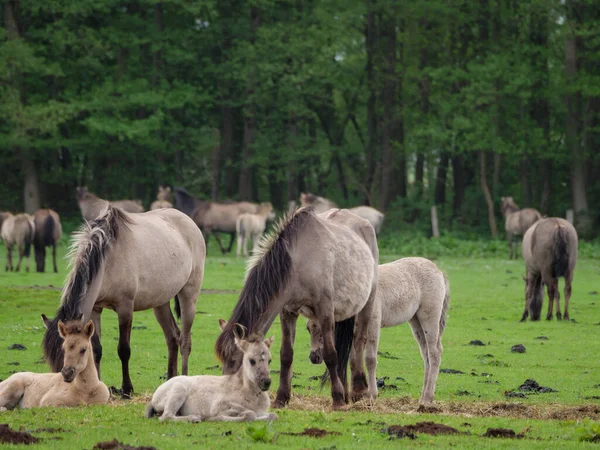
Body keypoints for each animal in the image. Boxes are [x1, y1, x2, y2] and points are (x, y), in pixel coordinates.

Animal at [42, 203, 206, 398]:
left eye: (78, 350)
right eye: (63, 349)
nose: (64, 377)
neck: (107, 260)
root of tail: (189, 222)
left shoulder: (125, 308)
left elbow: (124, 350)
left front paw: (127, 389)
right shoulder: (96, 309)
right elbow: (97, 350)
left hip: (188, 297)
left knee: (185, 342)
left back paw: (184, 378)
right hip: (160, 303)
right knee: (172, 338)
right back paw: (170, 380)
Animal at [146, 322, 278, 424]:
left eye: (269, 360)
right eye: (251, 360)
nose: (266, 382)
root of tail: (155, 396)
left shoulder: (262, 412)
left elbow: (273, 415)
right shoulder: (221, 405)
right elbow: (249, 414)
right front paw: (214, 418)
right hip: (178, 391)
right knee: (166, 416)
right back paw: (194, 418)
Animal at [213, 208, 378, 412]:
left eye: (238, 360)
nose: (227, 392)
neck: (299, 261)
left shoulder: (325, 311)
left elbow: (331, 355)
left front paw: (338, 400)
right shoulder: (287, 312)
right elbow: (286, 355)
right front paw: (281, 399)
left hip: (367, 302)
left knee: (358, 342)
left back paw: (359, 391)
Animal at [308, 256, 448, 404]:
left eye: (322, 330)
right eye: (308, 329)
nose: (314, 357)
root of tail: (438, 270)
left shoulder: (373, 323)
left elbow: (370, 359)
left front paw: (372, 394)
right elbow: (353, 359)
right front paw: (355, 395)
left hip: (429, 318)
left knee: (434, 353)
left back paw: (427, 399)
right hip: (416, 322)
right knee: (426, 354)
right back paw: (423, 397)